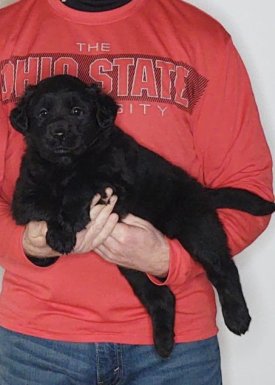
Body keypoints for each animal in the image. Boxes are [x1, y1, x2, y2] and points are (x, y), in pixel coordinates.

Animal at [9, 74, 274, 356]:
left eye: (77, 111)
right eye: (43, 113)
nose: (58, 133)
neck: (63, 166)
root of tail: (201, 190)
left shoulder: (113, 180)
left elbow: (80, 183)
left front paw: (65, 226)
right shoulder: (24, 195)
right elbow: (42, 204)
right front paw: (55, 240)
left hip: (197, 229)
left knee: (223, 268)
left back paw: (238, 317)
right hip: (130, 264)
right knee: (162, 297)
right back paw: (164, 343)